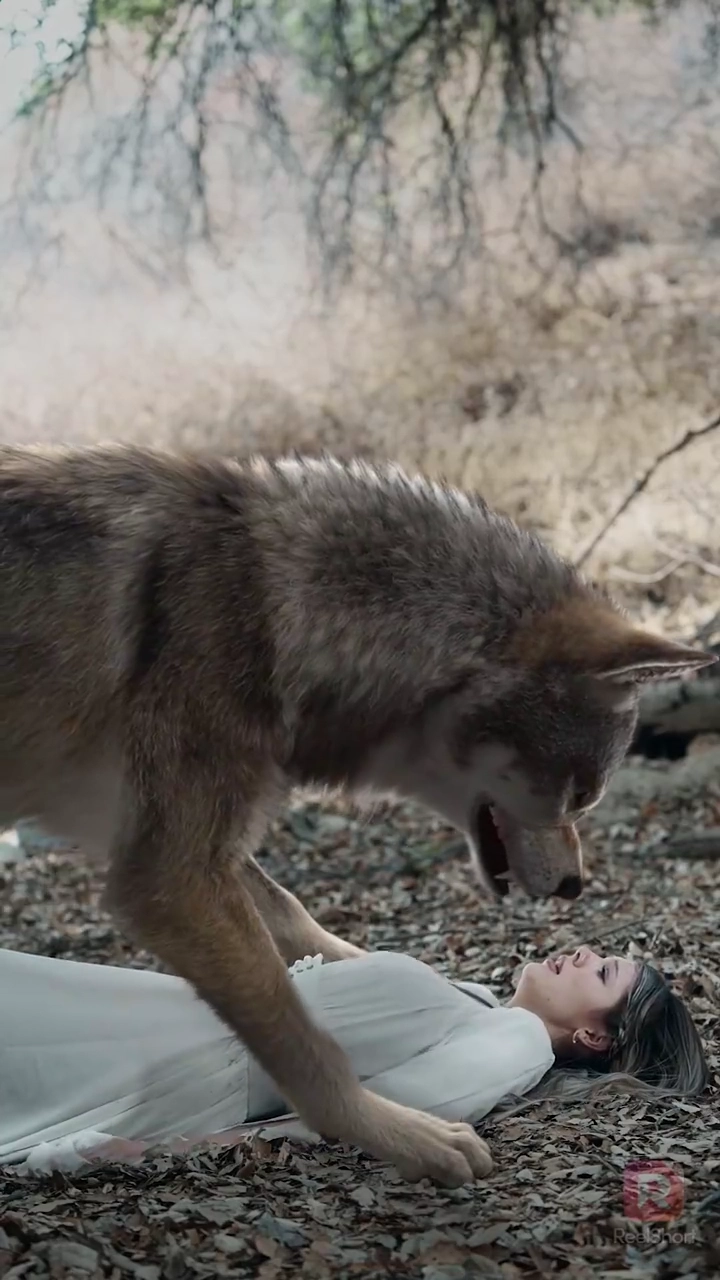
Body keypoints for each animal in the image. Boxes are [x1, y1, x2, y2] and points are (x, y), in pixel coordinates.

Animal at [0, 445, 713, 1186]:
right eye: (580, 795)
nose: (576, 886)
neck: (280, 611)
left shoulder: (158, 840)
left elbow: (295, 918)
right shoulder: (169, 876)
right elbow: (308, 1046)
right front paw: (406, 1135)